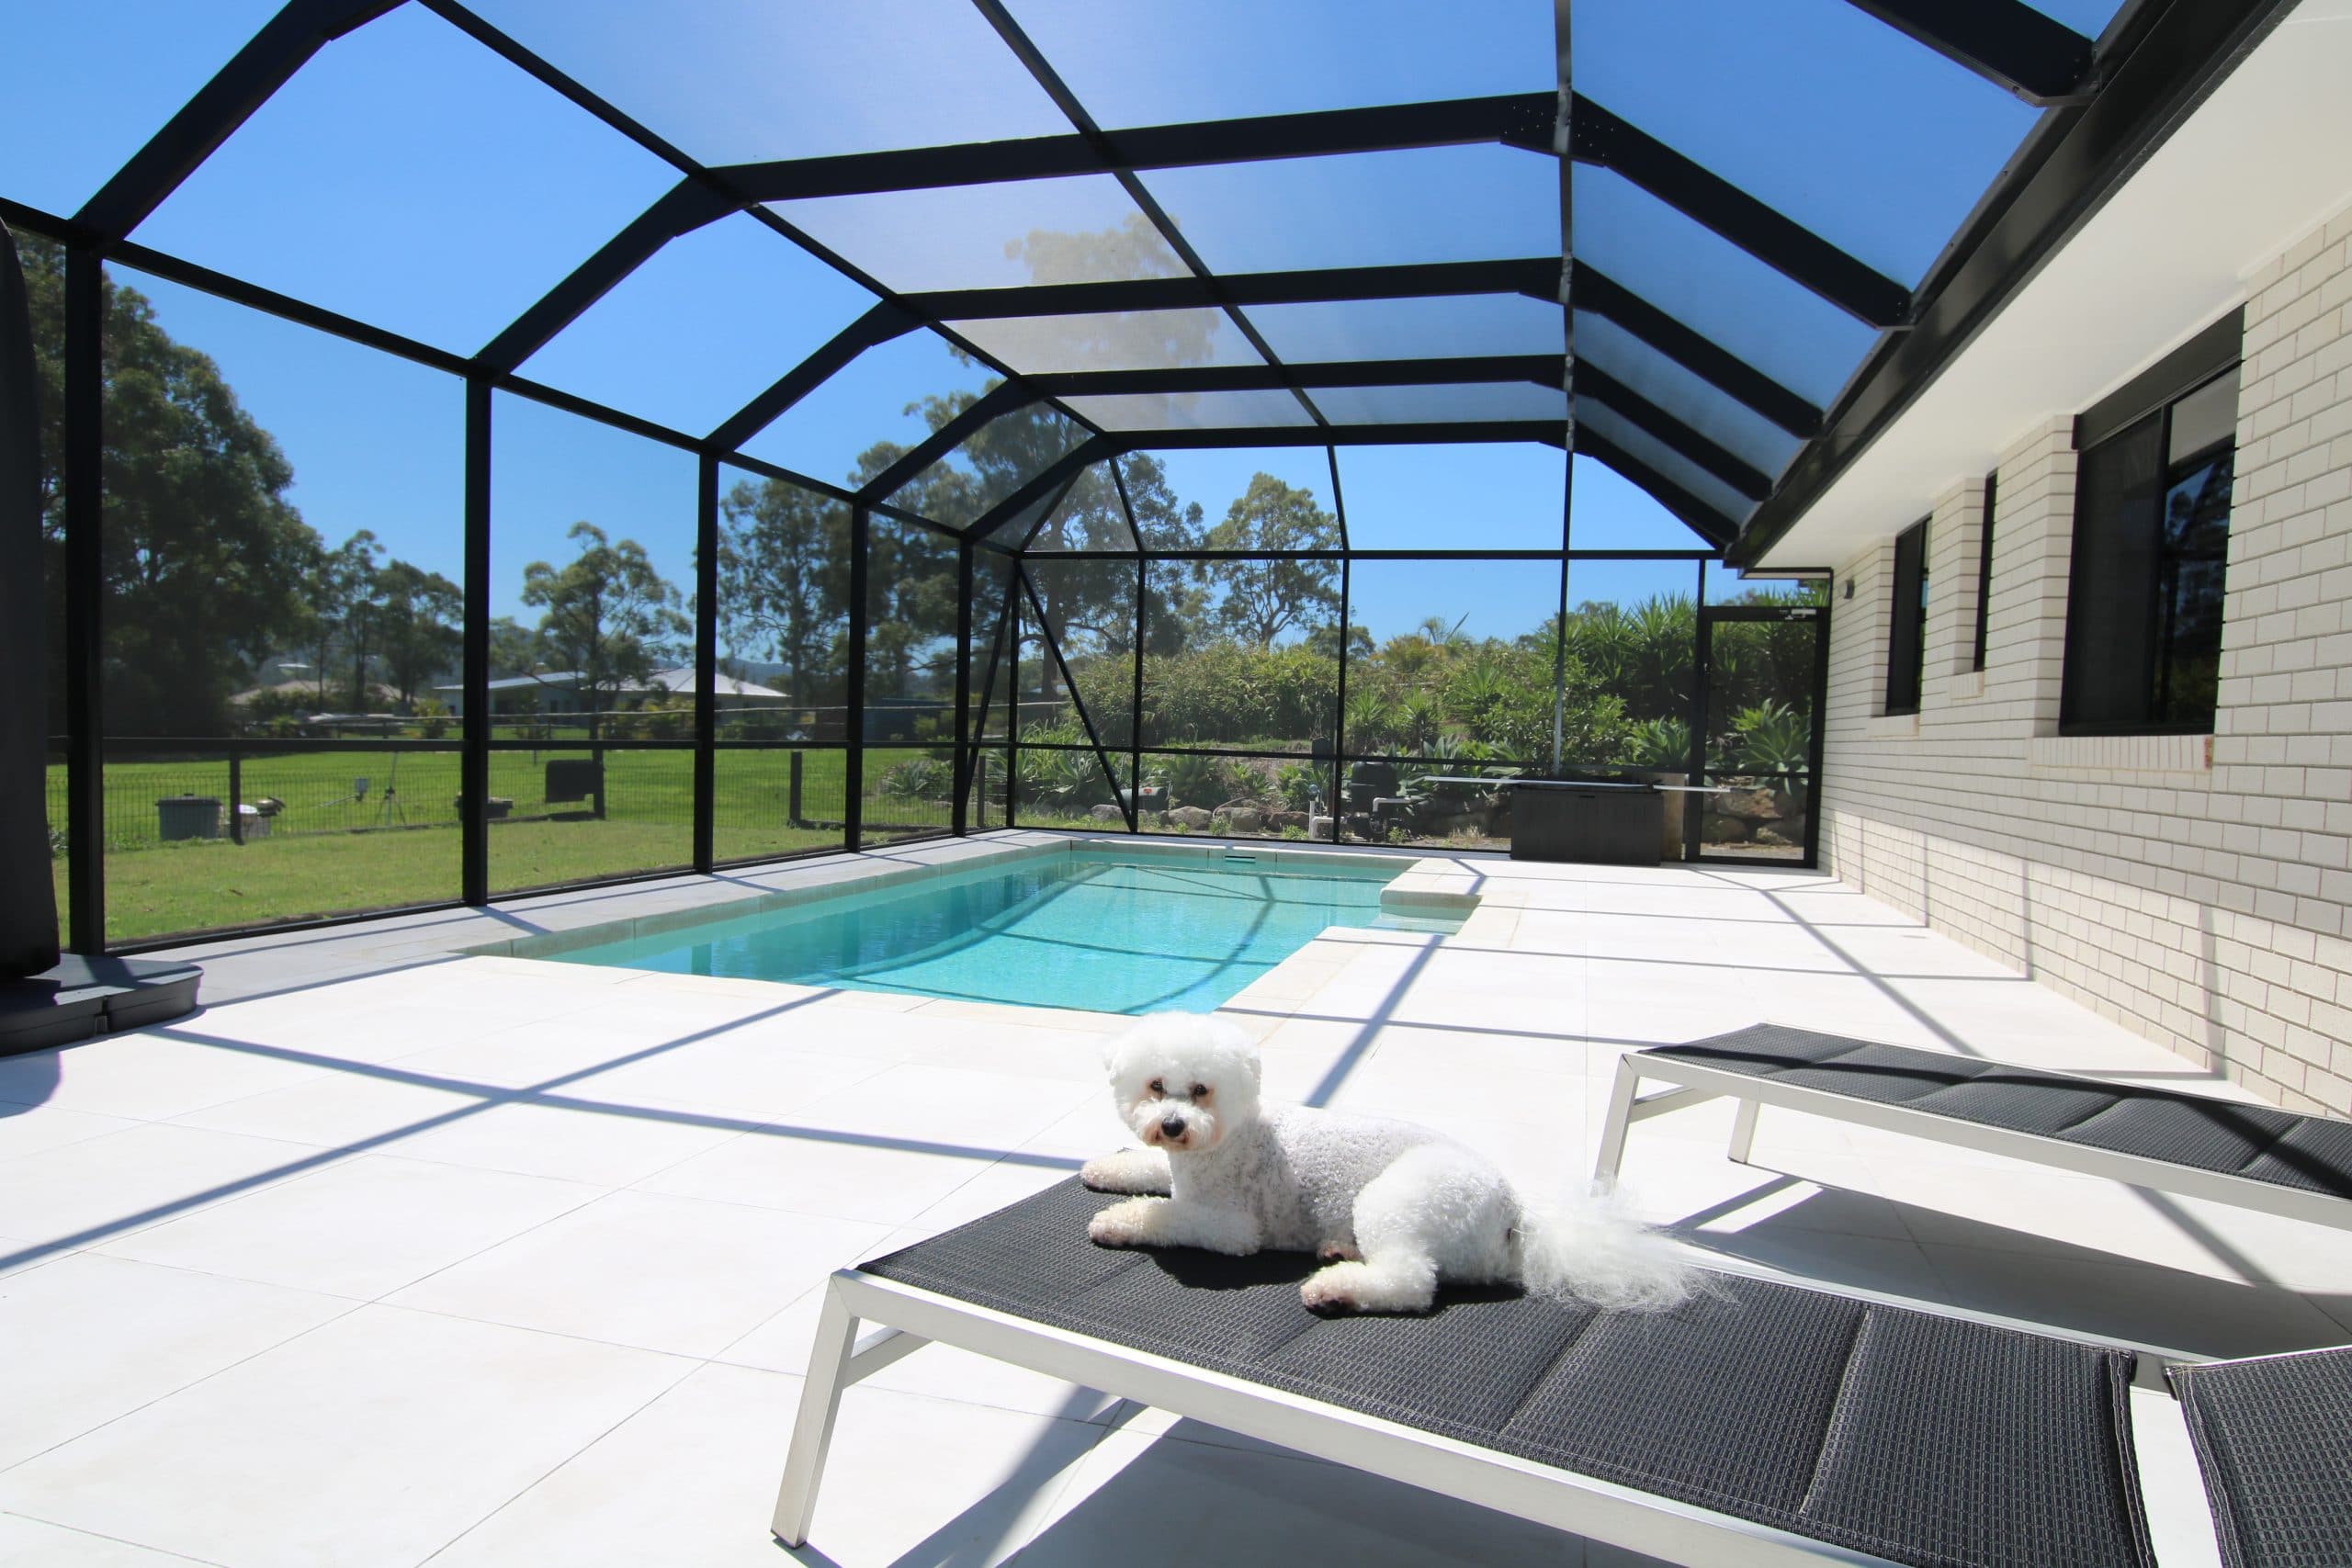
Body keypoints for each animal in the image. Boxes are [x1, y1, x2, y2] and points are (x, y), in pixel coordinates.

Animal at [1081, 1010, 1693, 1316]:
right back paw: (1338, 1252)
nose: (1173, 1126)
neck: (1226, 1137)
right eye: (1156, 1086)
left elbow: (1166, 1215)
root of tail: (1517, 1216)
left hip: (1400, 1199)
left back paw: (1335, 1287)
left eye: (1201, 1090)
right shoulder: (1178, 1168)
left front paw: (1117, 1221)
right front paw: (1105, 1169)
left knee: (1413, 1283)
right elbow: (1147, 1170)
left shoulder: (1229, 1224)